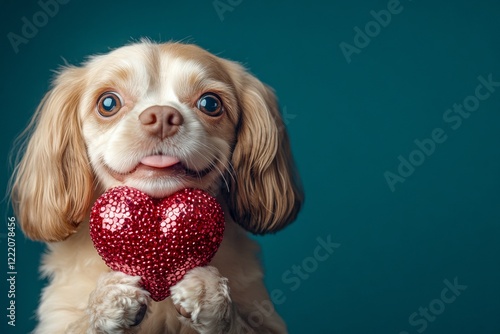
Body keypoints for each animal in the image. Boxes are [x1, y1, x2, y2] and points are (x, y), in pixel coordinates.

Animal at [9, 41, 302, 334]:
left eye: (210, 103)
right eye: (108, 103)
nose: (161, 115)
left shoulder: (264, 318)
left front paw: (209, 293)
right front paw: (110, 300)